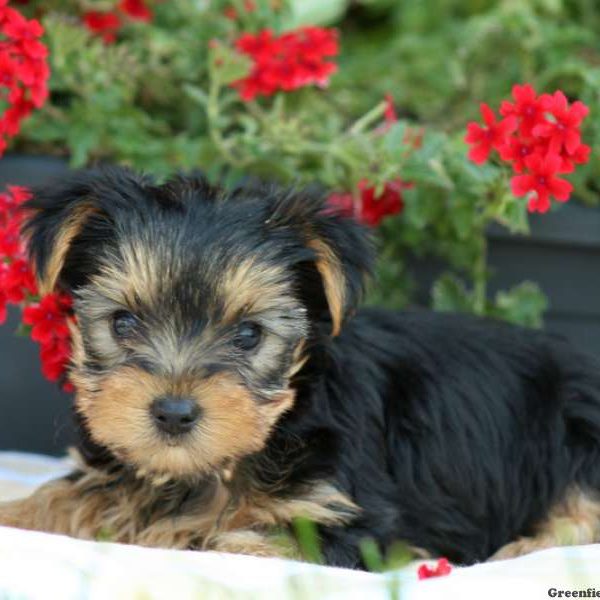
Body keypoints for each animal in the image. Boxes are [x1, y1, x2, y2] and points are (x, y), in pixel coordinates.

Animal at [1, 165, 600, 568]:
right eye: (122, 323)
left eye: (249, 334)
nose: (173, 412)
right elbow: (66, 496)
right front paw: (19, 514)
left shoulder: (349, 521)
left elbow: (234, 539)